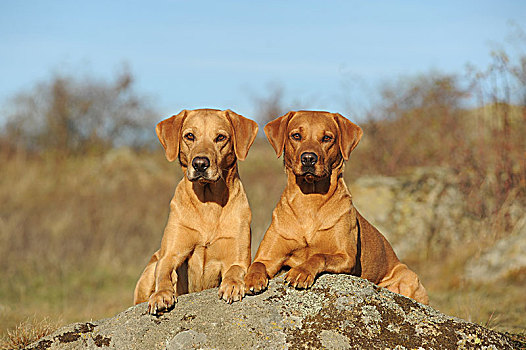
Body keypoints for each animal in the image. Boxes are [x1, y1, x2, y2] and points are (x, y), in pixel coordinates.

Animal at [135, 108, 258, 314]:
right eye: (190, 136)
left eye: (220, 137)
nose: (200, 163)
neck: (207, 203)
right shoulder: (170, 255)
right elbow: (164, 274)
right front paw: (161, 295)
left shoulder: (238, 257)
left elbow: (234, 269)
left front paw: (232, 285)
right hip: (149, 269)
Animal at [245, 110, 432, 304]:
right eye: (296, 136)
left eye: (327, 138)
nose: (308, 159)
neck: (309, 201)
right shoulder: (269, 257)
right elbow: (257, 264)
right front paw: (252, 279)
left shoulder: (346, 257)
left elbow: (318, 255)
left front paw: (301, 271)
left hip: (409, 278)